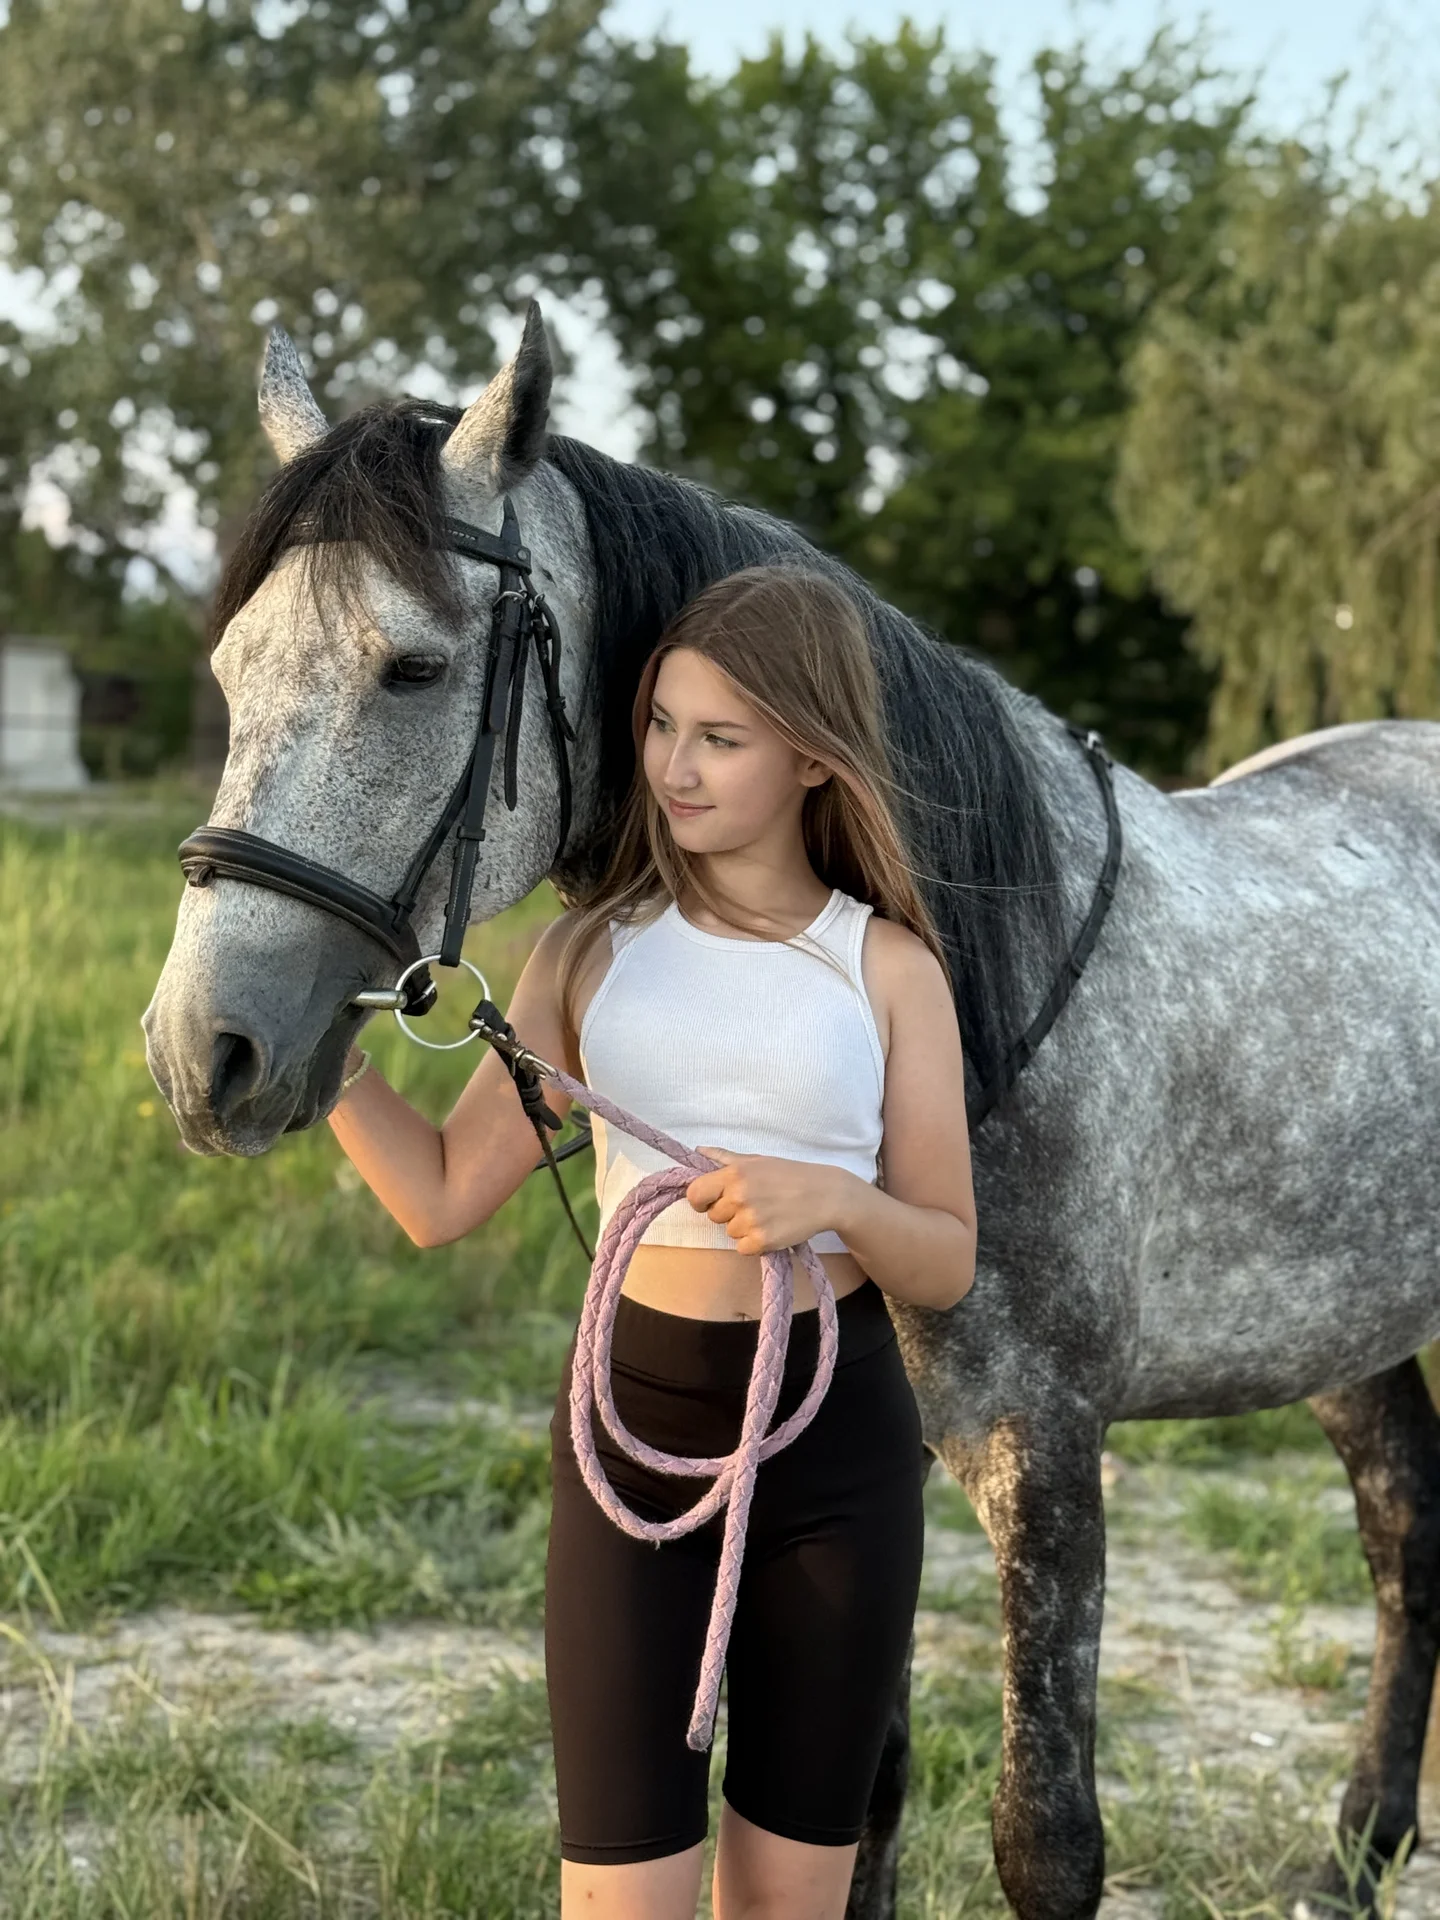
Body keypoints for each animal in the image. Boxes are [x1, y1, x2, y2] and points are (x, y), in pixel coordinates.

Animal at [143, 303, 1440, 1919]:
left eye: (414, 668)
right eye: (233, 667)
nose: (204, 1052)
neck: (986, 973)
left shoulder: (1046, 1448)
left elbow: (1045, 1839)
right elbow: (857, 1790)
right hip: (1347, 1327)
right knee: (1405, 1524)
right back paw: (1358, 1850)